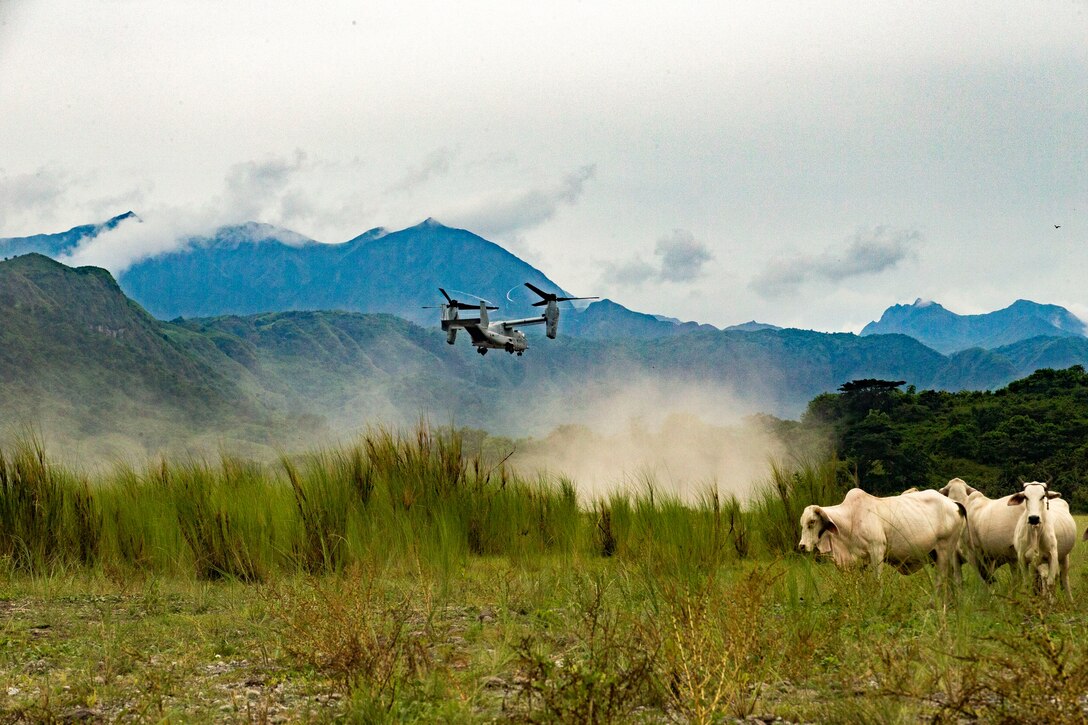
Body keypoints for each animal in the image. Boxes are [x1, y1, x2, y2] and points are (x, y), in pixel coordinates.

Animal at [796, 485, 966, 583]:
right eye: (802, 523)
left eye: (812, 522)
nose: (802, 546)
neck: (851, 519)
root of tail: (954, 503)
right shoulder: (862, 560)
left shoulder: (877, 551)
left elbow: (877, 582)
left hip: (945, 550)